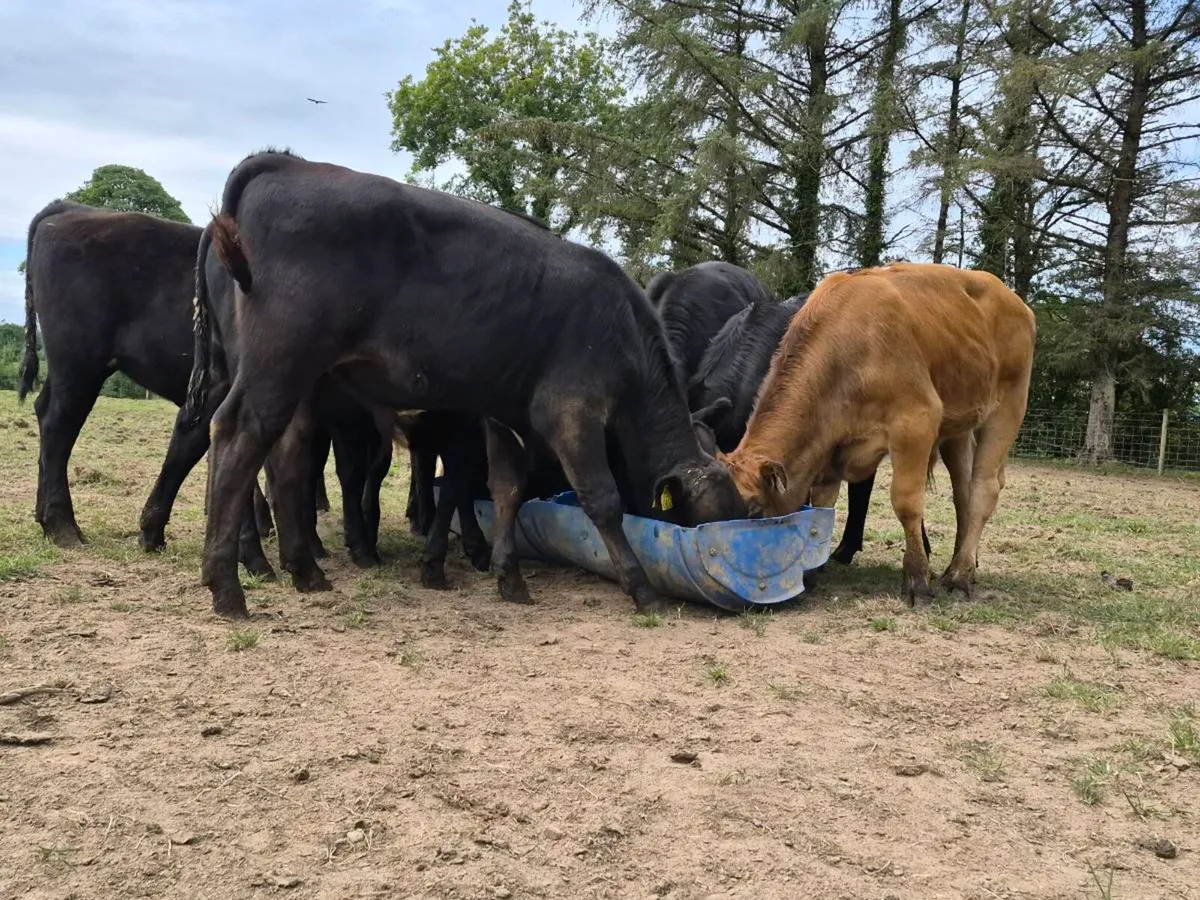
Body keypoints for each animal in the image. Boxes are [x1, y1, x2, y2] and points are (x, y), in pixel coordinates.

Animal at [184, 149, 747, 618]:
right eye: (700, 521)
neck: (623, 328)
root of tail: (283, 164)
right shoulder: (570, 409)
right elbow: (601, 499)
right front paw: (641, 586)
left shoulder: (503, 413)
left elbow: (506, 488)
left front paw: (509, 577)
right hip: (278, 363)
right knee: (237, 437)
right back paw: (227, 585)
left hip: (297, 380)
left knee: (283, 455)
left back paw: (303, 571)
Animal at [717, 262, 1035, 603]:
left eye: (753, 510)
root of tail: (1015, 301)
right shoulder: (829, 447)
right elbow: (823, 504)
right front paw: (814, 569)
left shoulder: (916, 421)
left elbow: (907, 502)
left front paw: (917, 579)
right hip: (958, 424)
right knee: (963, 492)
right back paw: (960, 565)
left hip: (1008, 407)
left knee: (984, 489)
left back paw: (960, 576)